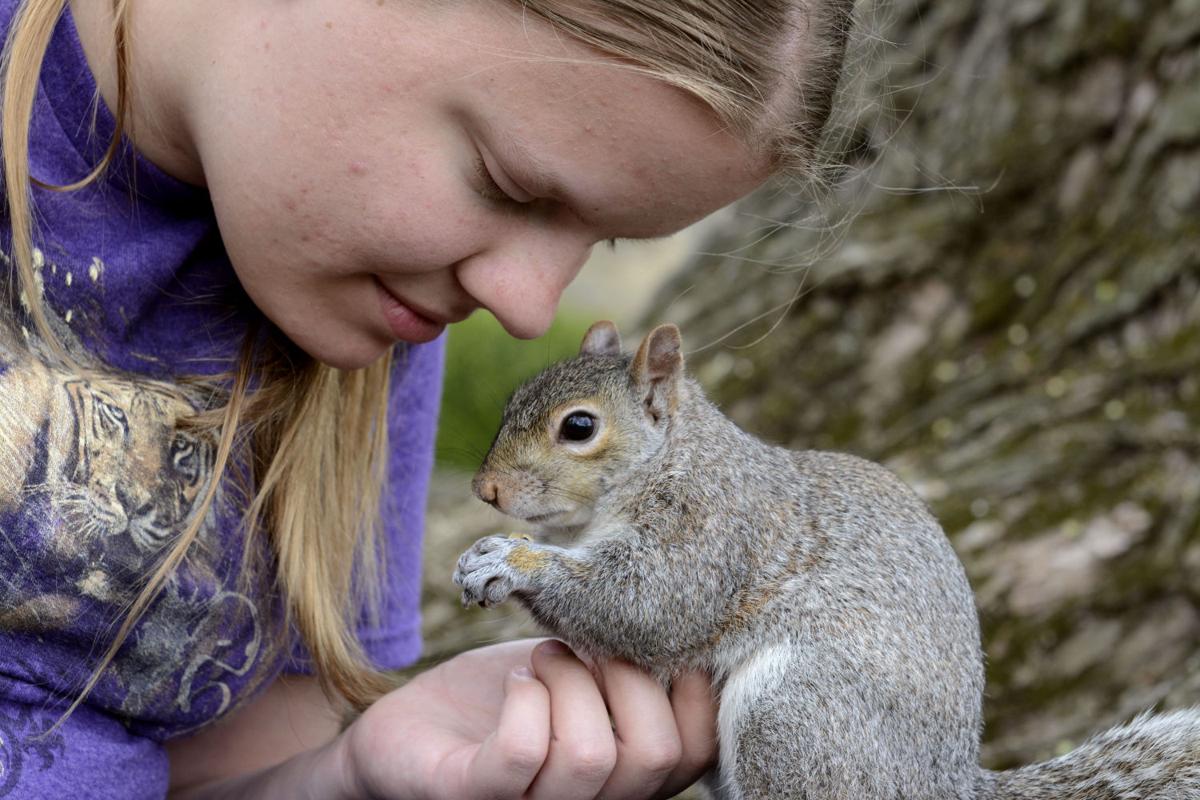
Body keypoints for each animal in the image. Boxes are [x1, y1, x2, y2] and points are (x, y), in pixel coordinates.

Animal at [453, 320, 1200, 800]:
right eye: (513, 401)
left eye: (579, 427)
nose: (485, 491)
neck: (671, 459)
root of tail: (942, 787)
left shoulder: (713, 530)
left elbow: (646, 606)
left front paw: (512, 562)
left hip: (797, 715)